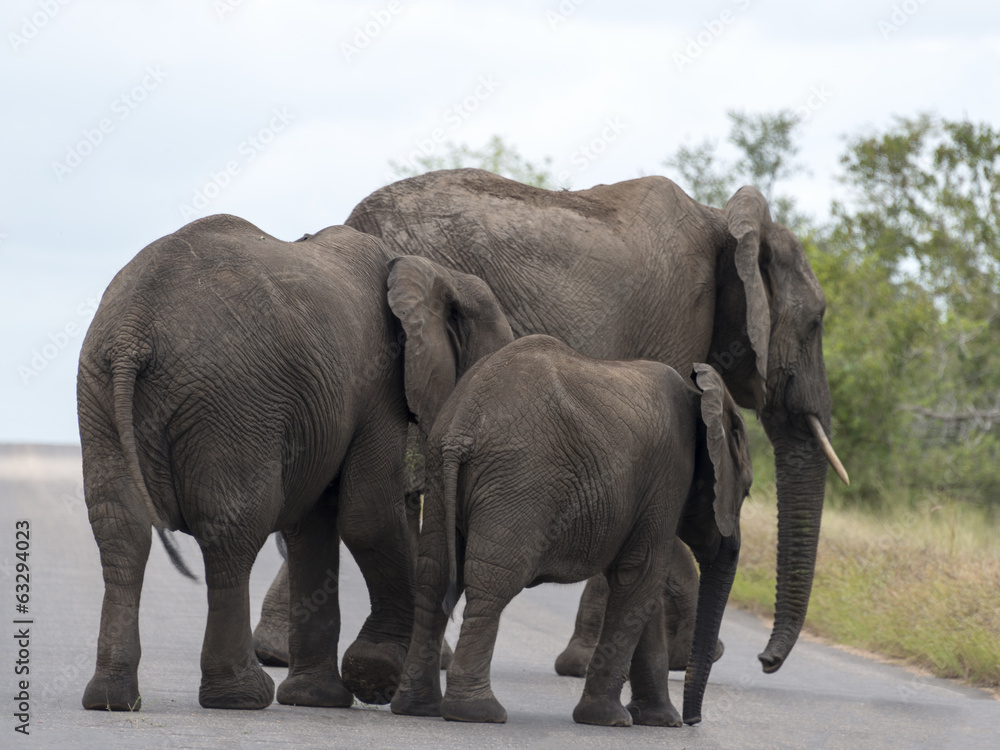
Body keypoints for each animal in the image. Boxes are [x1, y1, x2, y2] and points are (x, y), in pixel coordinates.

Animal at [78, 214, 416, 711]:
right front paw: (375, 677)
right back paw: (242, 697)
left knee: (121, 530)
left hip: (102, 390)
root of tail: (133, 331)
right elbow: (366, 514)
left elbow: (313, 522)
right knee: (232, 530)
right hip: (231, 401)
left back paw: (112, 701)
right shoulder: (379, 378)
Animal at [384, 256, 753, 726]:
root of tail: (463, 424)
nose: (695, 721)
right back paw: (478, 713)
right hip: (518, 481)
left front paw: (658, 722)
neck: (701, 394)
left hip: (440, 471)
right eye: (746, 491)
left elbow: (642, 588)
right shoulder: (669, 472)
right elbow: (641, 576)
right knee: (493, 582)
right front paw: (613, 721)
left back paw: (417, 708)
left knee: (432, 578)